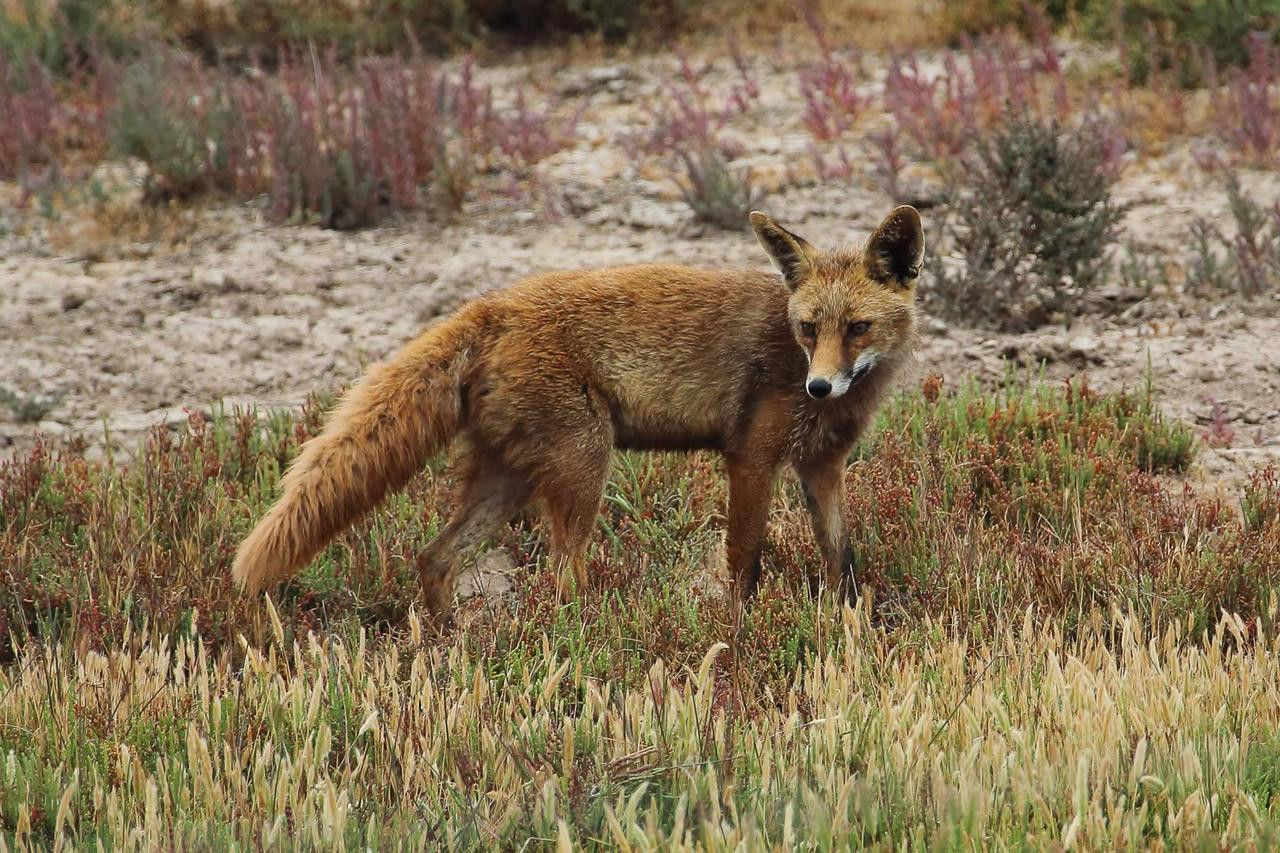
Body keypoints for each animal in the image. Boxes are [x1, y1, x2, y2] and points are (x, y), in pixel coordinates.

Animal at [233, 205, 925, 616]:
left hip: (512, 480)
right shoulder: (751, 459)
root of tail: (492, 305)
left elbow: (842, 561)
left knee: (434, 558)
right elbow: (744, 566)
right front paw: (739, 637)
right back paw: (587, 644)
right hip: (585, 468)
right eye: (808, 329)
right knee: (563, 578)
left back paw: (448, 644)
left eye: (857, 328)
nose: (820, 387)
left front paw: (851, 627)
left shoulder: (822, 468)